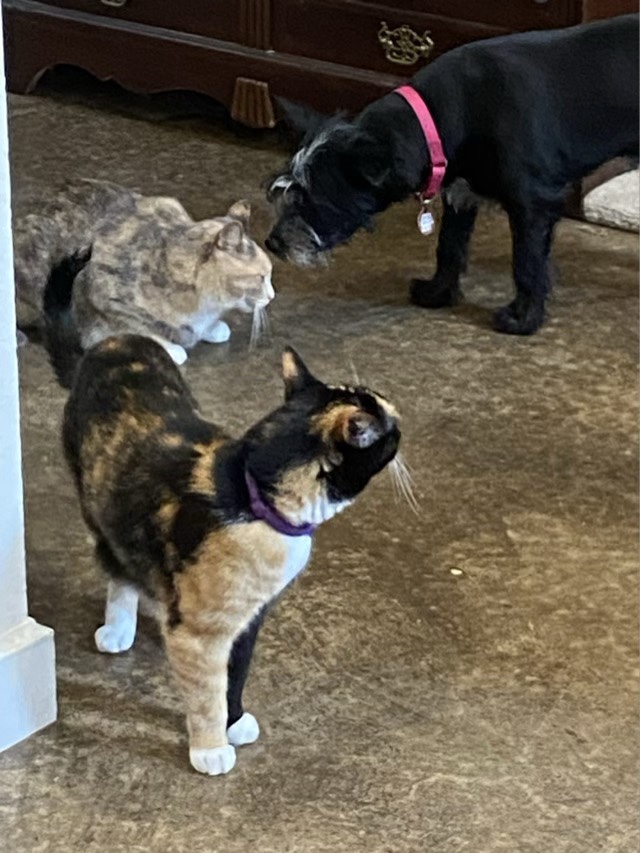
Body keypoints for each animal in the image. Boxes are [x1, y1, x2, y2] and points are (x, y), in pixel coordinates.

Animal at [14, 179, 274, 364]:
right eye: (261, 277)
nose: (272, 296)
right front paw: (173, 345)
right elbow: (138, 328)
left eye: (270, 275)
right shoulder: (98, 293)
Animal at [42, 258, 402, 776]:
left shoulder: (251, 617)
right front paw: (210, 747)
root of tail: (106, 345)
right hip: (97, 504)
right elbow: (207, 690)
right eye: (387, 431)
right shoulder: (203, 634)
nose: (399, 414)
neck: (252, 496)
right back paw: (120, 625)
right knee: (116, 564)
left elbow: (236, 673)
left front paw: (234, 720)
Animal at [266, 14, 639, 335]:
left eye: (317, 199)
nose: (273, 243)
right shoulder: (460, 194)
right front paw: (438, 293)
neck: (443, 115)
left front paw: (523, 319)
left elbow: (527, 262)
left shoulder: (532, 204)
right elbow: (449, 247)